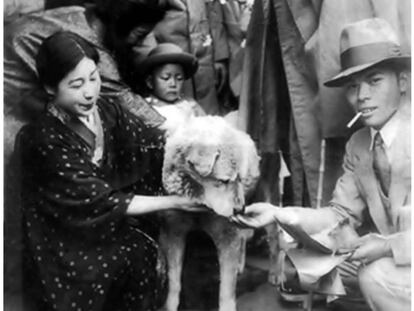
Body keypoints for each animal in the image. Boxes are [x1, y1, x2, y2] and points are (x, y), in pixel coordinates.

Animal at [159, 116, 258, 311]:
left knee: (243, 238)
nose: (240, 209)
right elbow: (174, 282)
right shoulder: (175, 233)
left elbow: (226, 291)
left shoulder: (228, 237)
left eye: (240, 179)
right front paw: (170, 305)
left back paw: (240, 264)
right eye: (224, 181)